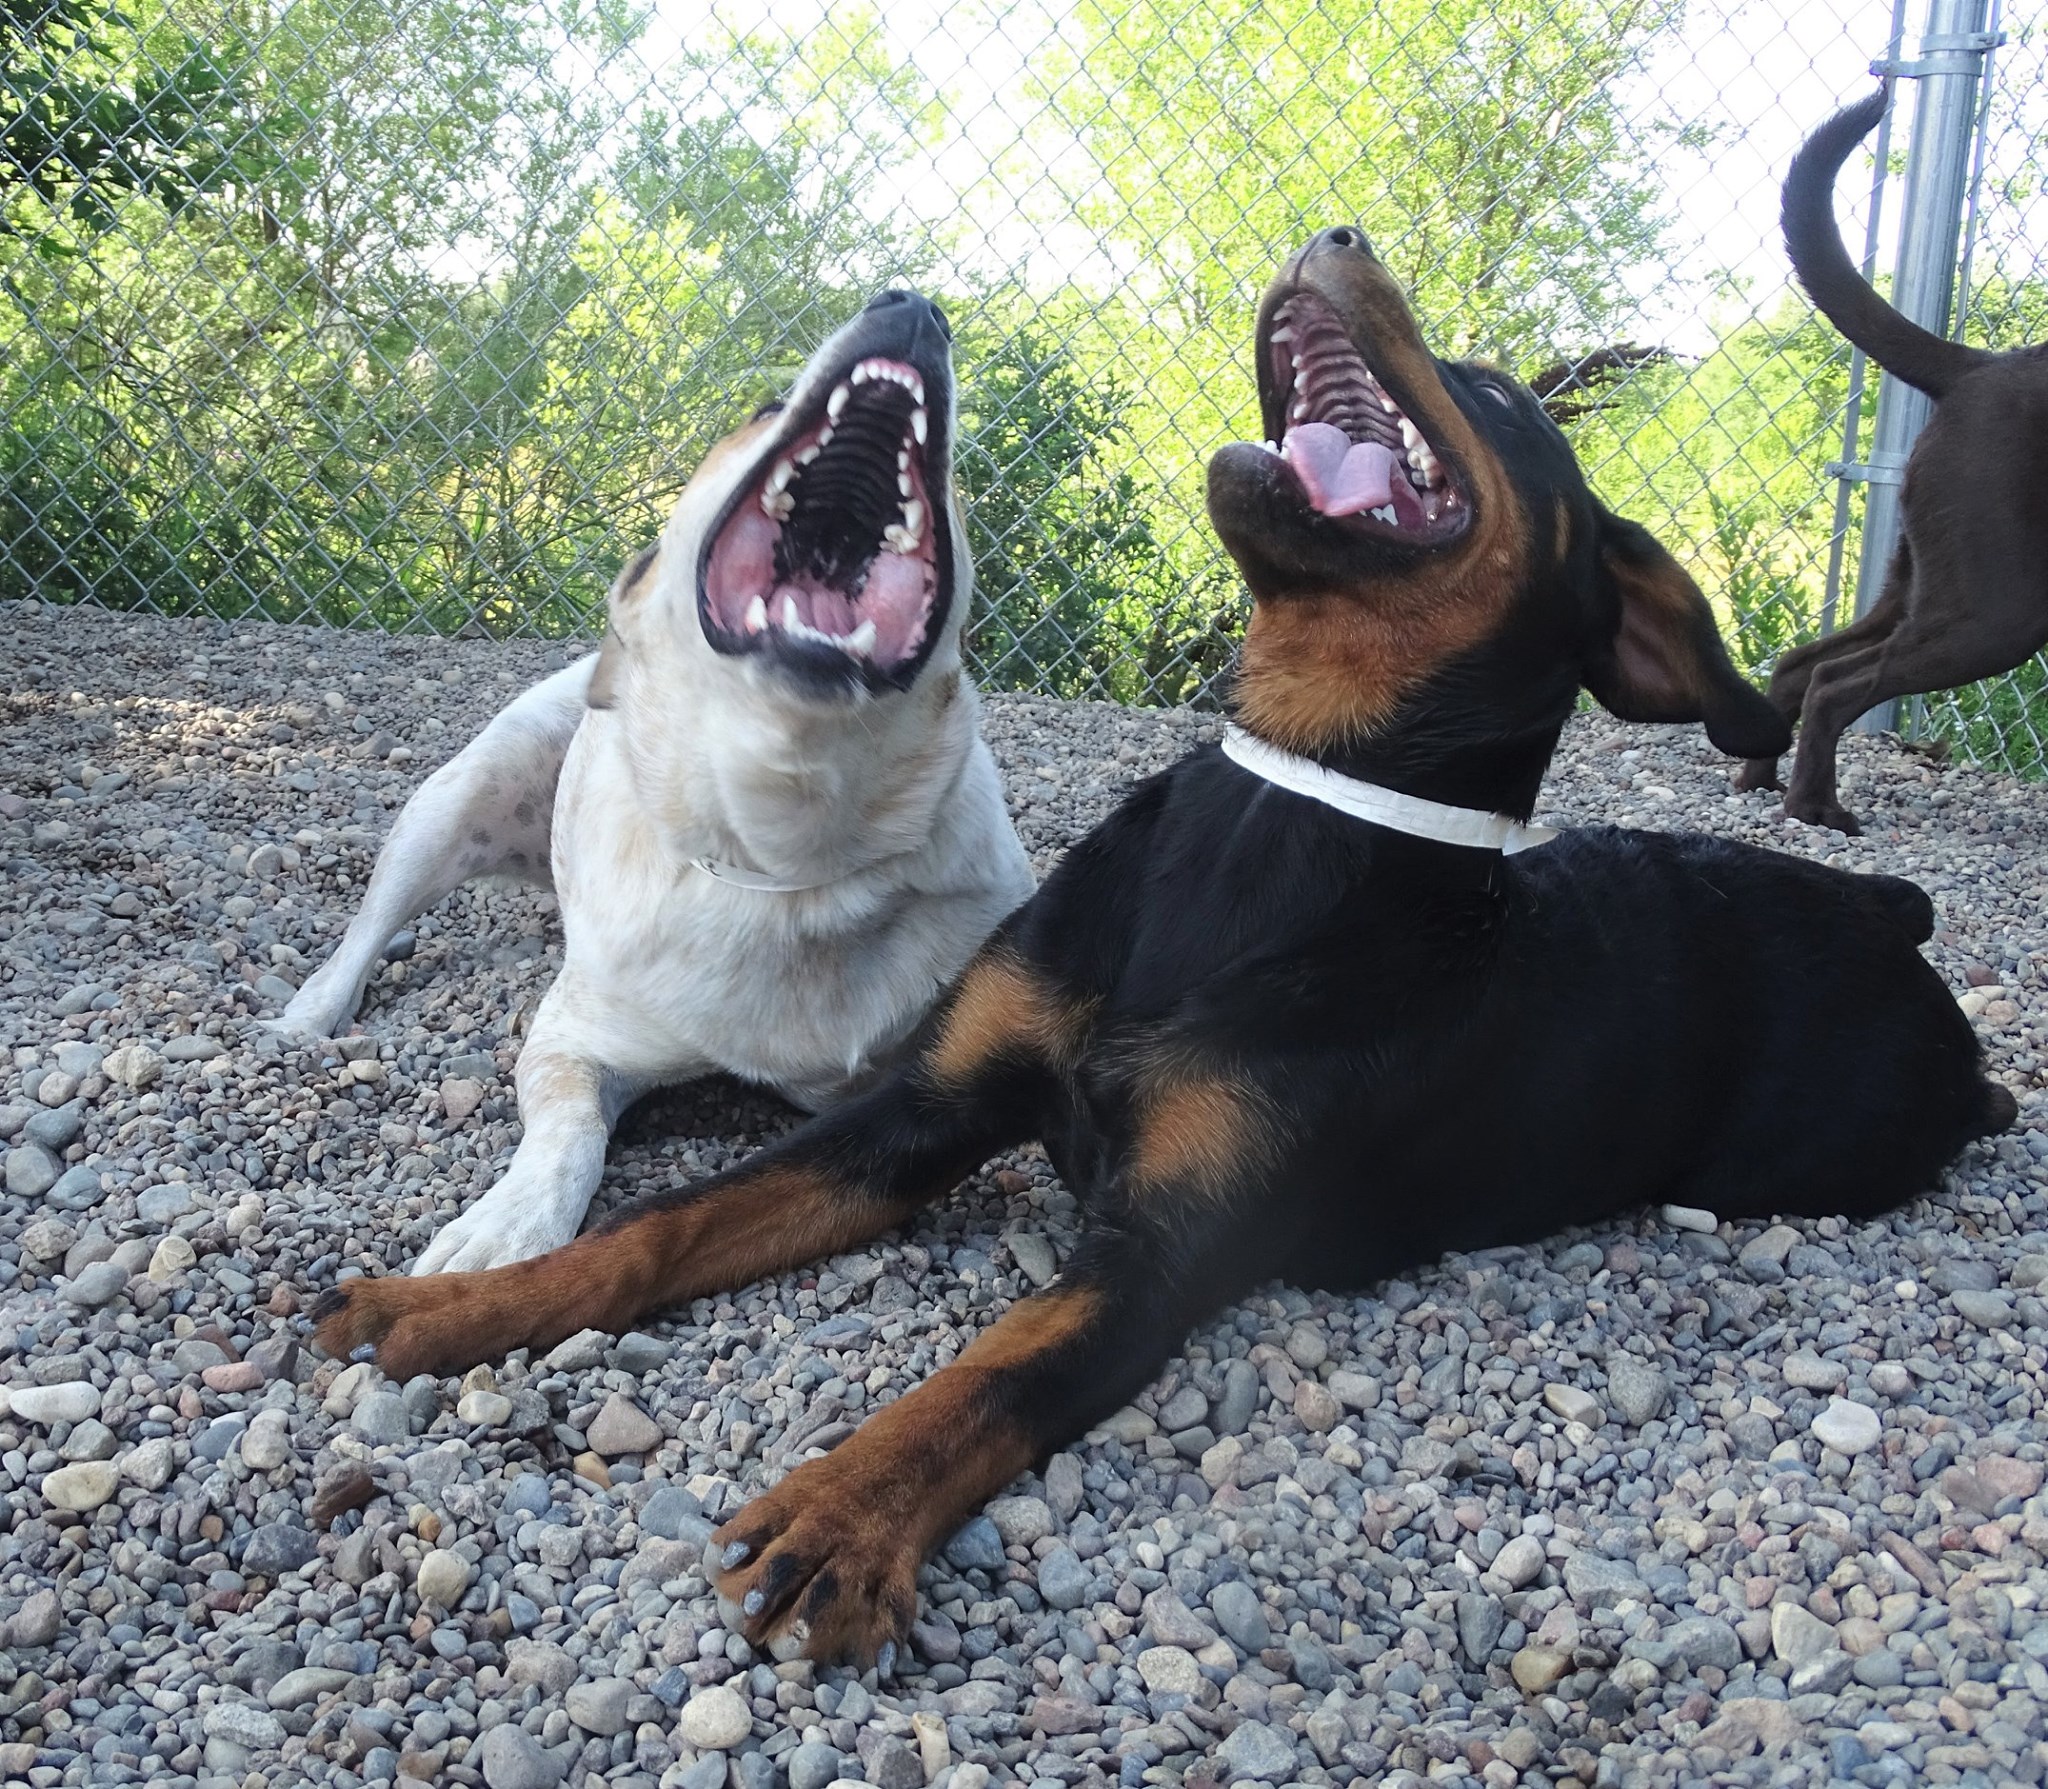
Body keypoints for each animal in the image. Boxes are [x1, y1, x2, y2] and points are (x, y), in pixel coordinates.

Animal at [280, 288, 1032, 1269]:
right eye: (761, 409)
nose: (910, 305)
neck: (794, 856)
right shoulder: (573, 1040)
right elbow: (567, 1135)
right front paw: (507, 1225)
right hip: (459, 796)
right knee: (370, 923)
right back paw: (308, 1015)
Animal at [1736, 85, 2048, 831]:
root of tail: (1976, 368)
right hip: (1998, 608)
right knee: (1834, 682)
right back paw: (1816, 808)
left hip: (1923, 581)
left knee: (1801, 664)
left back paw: (1761, 780)